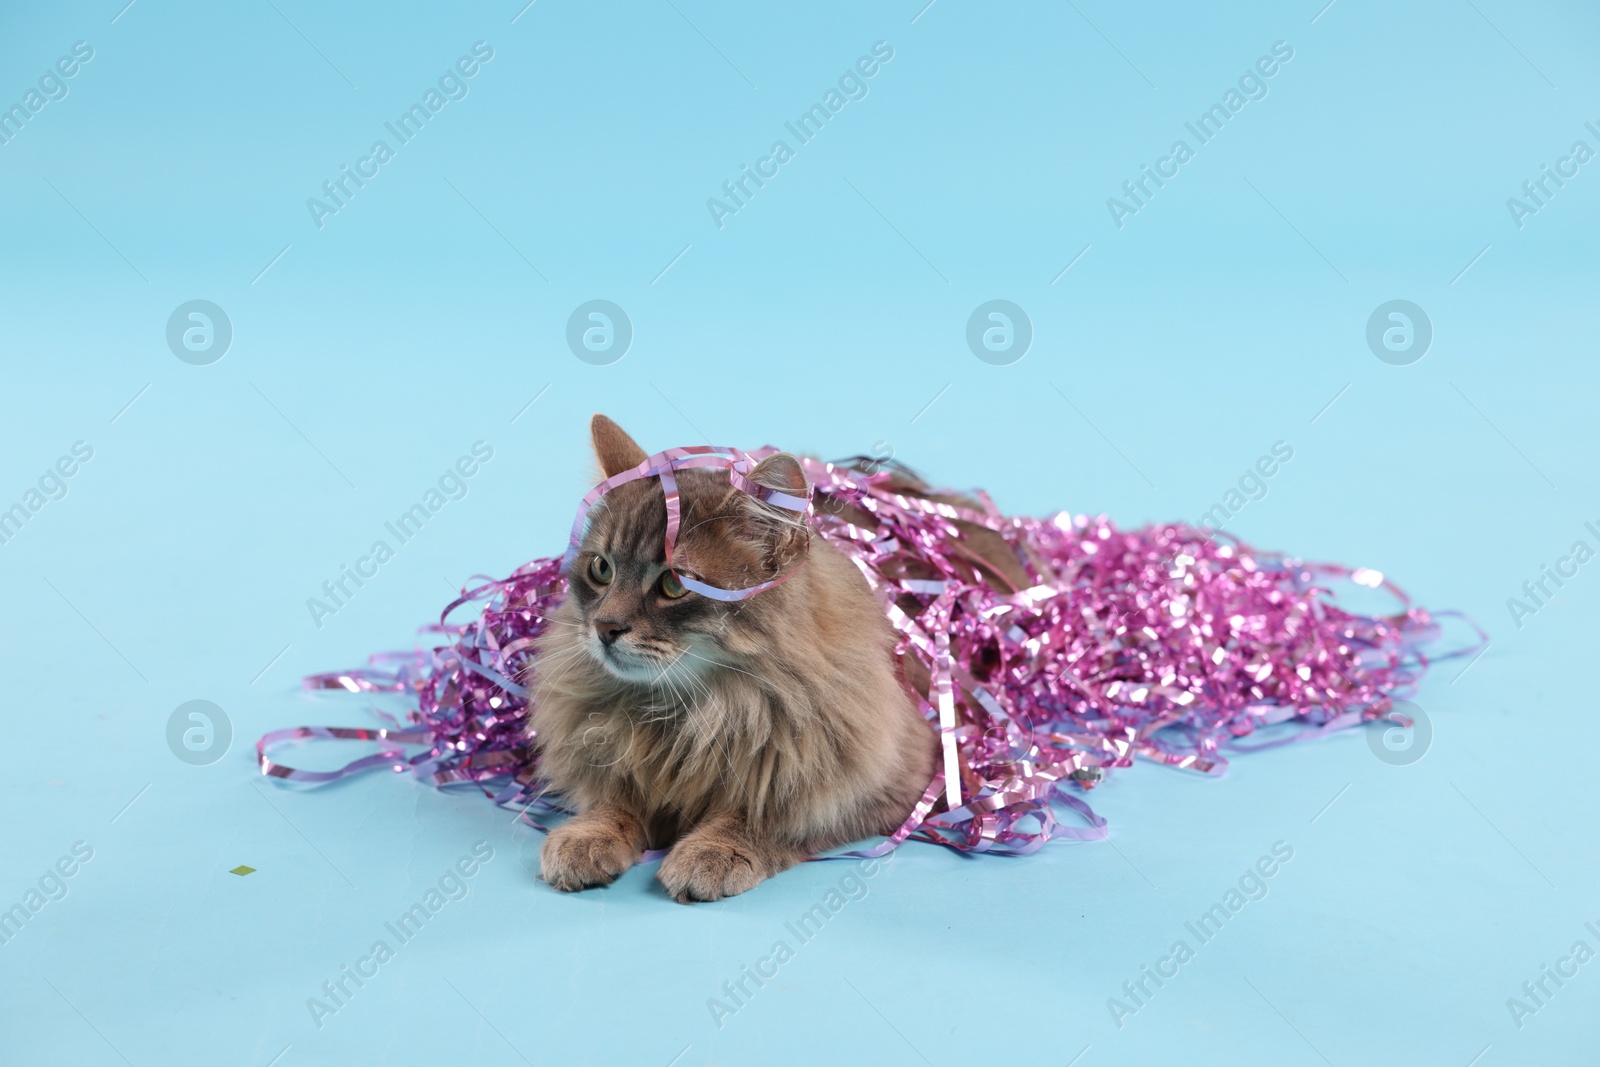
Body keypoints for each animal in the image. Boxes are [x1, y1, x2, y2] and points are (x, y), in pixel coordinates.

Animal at [531, 415, 934, 902]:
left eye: (674, 585)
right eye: (601, 569)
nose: (605, 628)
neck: (689, 711)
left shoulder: (888, 784)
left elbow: (767, 817)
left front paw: (714, 849)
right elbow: (615, 802)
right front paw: (588, 834)